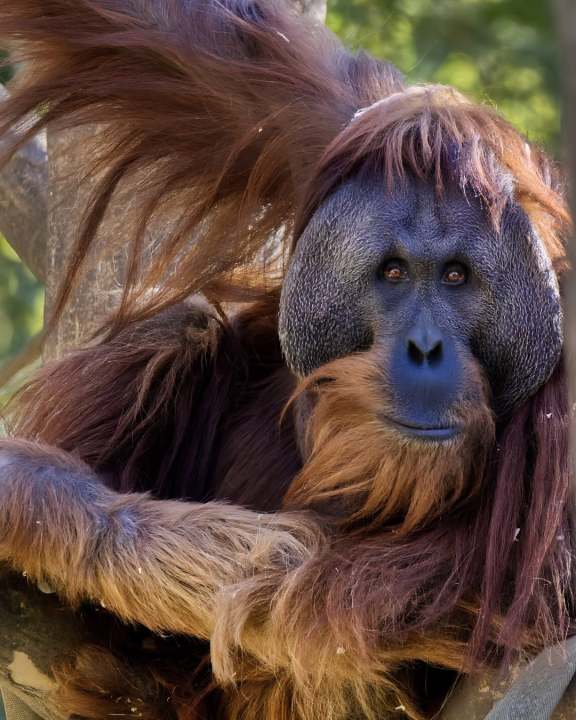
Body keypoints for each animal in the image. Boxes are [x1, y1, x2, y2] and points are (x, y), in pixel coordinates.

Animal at [0, 1, 573, 719]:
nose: (424, 348)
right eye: (392, 273)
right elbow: (153, 30)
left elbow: (360, 585)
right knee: (183, 323)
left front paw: (29, 487)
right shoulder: (326, 119)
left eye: (457, 277)